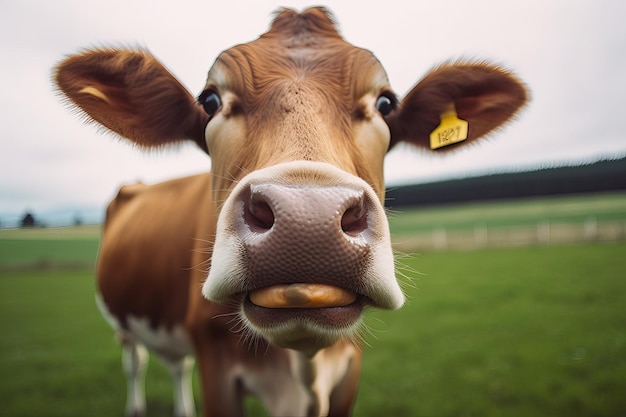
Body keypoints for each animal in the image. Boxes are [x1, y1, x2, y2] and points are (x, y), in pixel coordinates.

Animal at [54, 6, 528, 416]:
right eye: (209, 100)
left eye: (386, 103)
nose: (308, 219)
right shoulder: (216, 366)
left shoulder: (348, 373)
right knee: (135, 361)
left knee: (174, 364)